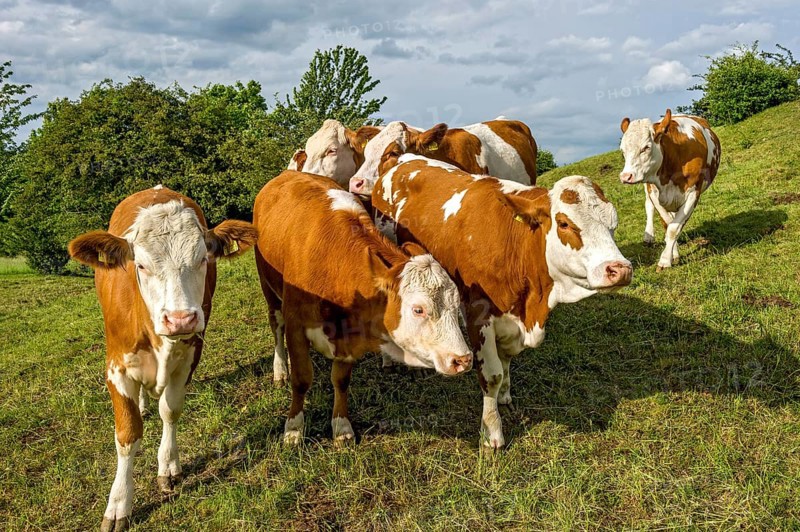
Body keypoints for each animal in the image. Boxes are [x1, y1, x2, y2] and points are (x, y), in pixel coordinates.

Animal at [67, 186, 258, 531]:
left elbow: (170, 410)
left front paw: (168, 466)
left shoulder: (190, 356)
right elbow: (127, 434)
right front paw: (119, 503)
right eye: (141, 265)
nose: (180, 319)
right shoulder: (116, 367)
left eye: (202, 259)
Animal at [253, 171, 472, 446]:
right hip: (269, 291)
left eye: (455, 306)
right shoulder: (296, 325)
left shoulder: (349, 335)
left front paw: (341, 426)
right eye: (418, 310)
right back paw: (281, 369)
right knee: (276, 329)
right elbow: (301, 379)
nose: (463, 360)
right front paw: (294, 428)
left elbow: (341, 380)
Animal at [370, 155, 632, 448]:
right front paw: (492, 431)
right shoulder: (479, 315)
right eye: (564, 223)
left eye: (613, 224)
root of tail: (402, 158)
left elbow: (506, 361)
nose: (620, 269)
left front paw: (505, 394)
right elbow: (491, 375)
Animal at [620, 108, 721, 271]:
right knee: (649, 206)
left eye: (646, 147)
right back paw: (649, 236)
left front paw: (665, 260)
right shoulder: (654, 193)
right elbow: (668, 224)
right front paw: (673, 254)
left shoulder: (693, 194)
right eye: (623, 151)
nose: (625, 176)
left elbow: (674, 227)